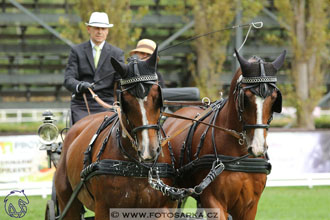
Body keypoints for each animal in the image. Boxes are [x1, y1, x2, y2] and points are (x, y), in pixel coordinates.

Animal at [55, 46, 177, 220]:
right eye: (126, 100)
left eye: (156, 96)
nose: (149, 150)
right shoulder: (105, 210)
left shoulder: (163, 209)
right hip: (68, 204)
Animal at [163, 50, 286, 220]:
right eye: (245, 98)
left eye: (274, 98)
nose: (257, 148)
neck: (239, 157)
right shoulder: (213, 200)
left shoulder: (249, 206)